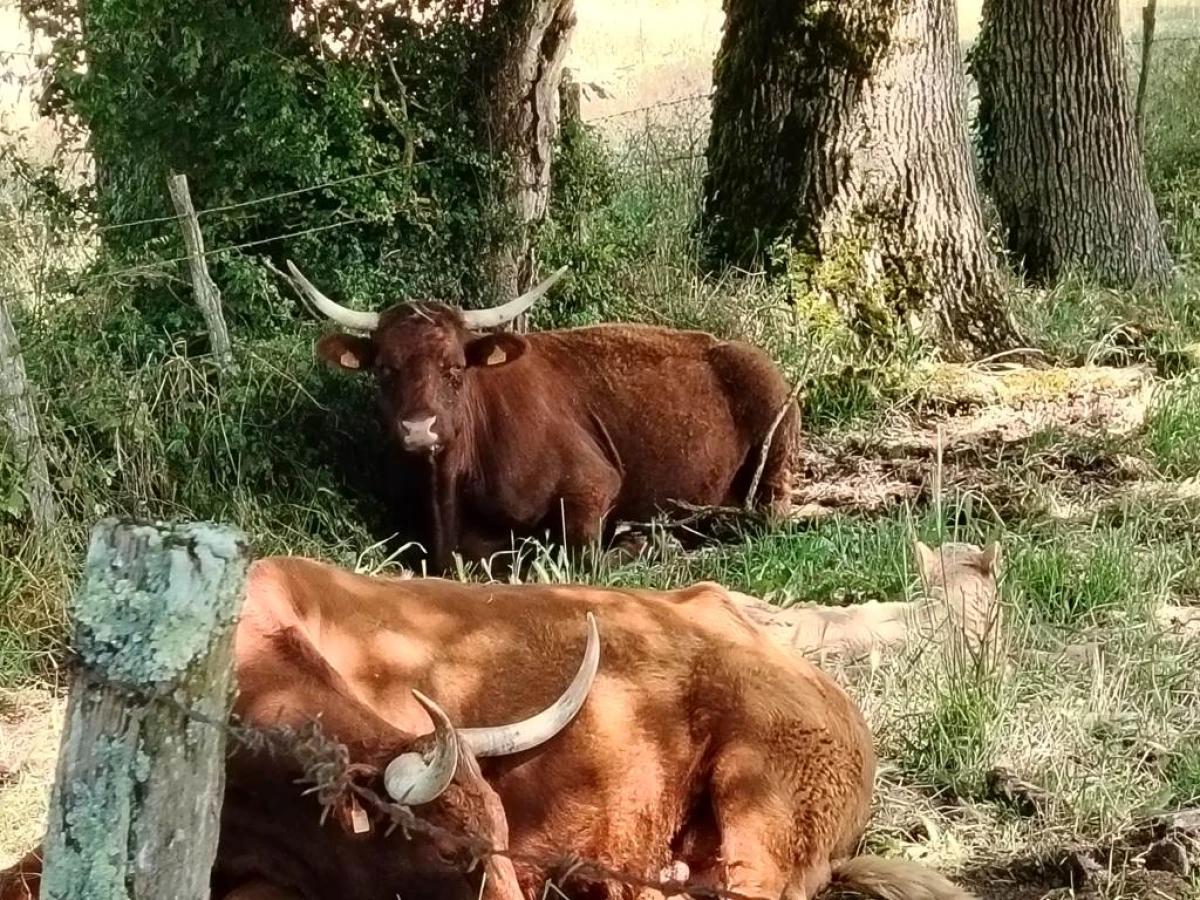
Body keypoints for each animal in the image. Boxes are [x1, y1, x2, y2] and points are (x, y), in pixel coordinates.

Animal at [285, 262, 801, 571]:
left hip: (774, 455)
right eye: (385, 370)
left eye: (455, 369)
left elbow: (579, 559)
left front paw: (645, 543)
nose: (418, 429)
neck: (446, 495)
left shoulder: (594, 484)